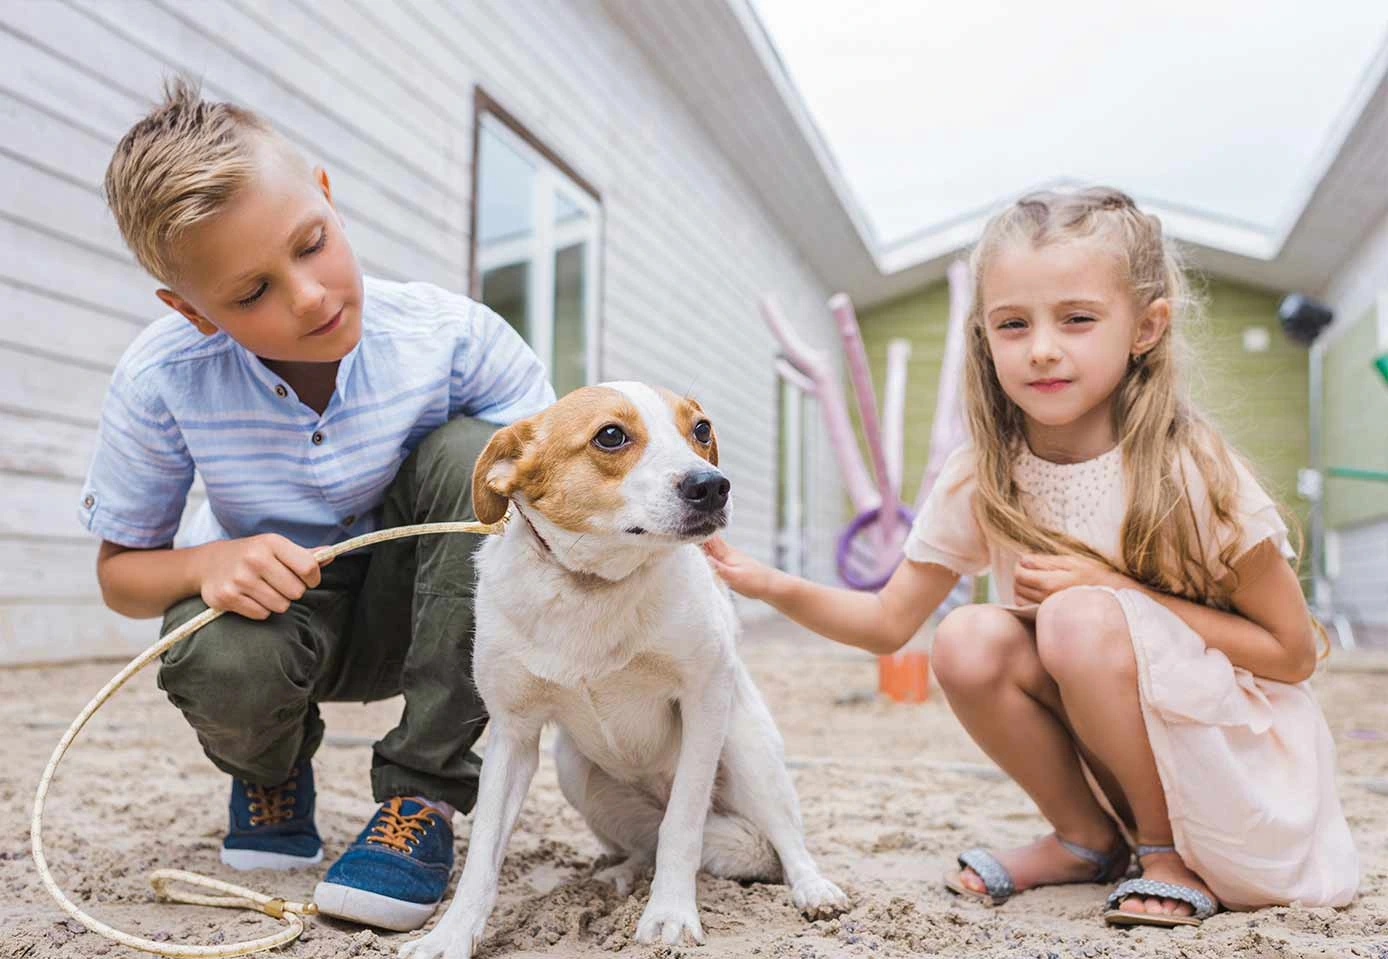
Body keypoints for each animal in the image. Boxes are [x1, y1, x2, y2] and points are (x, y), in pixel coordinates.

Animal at [399, 383, 843, 959]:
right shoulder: (513, 735)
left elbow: (683, 826)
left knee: (783, 840)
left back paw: (813, 889)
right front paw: (451, 934)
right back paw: (619, 875)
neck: (595, 588)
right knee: (644, 844)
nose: (713, 485)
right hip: (575, 773)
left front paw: (671, 914)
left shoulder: (704, 701)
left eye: (701, 429)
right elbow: (481, 855)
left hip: (749, 753)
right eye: (610, 435)